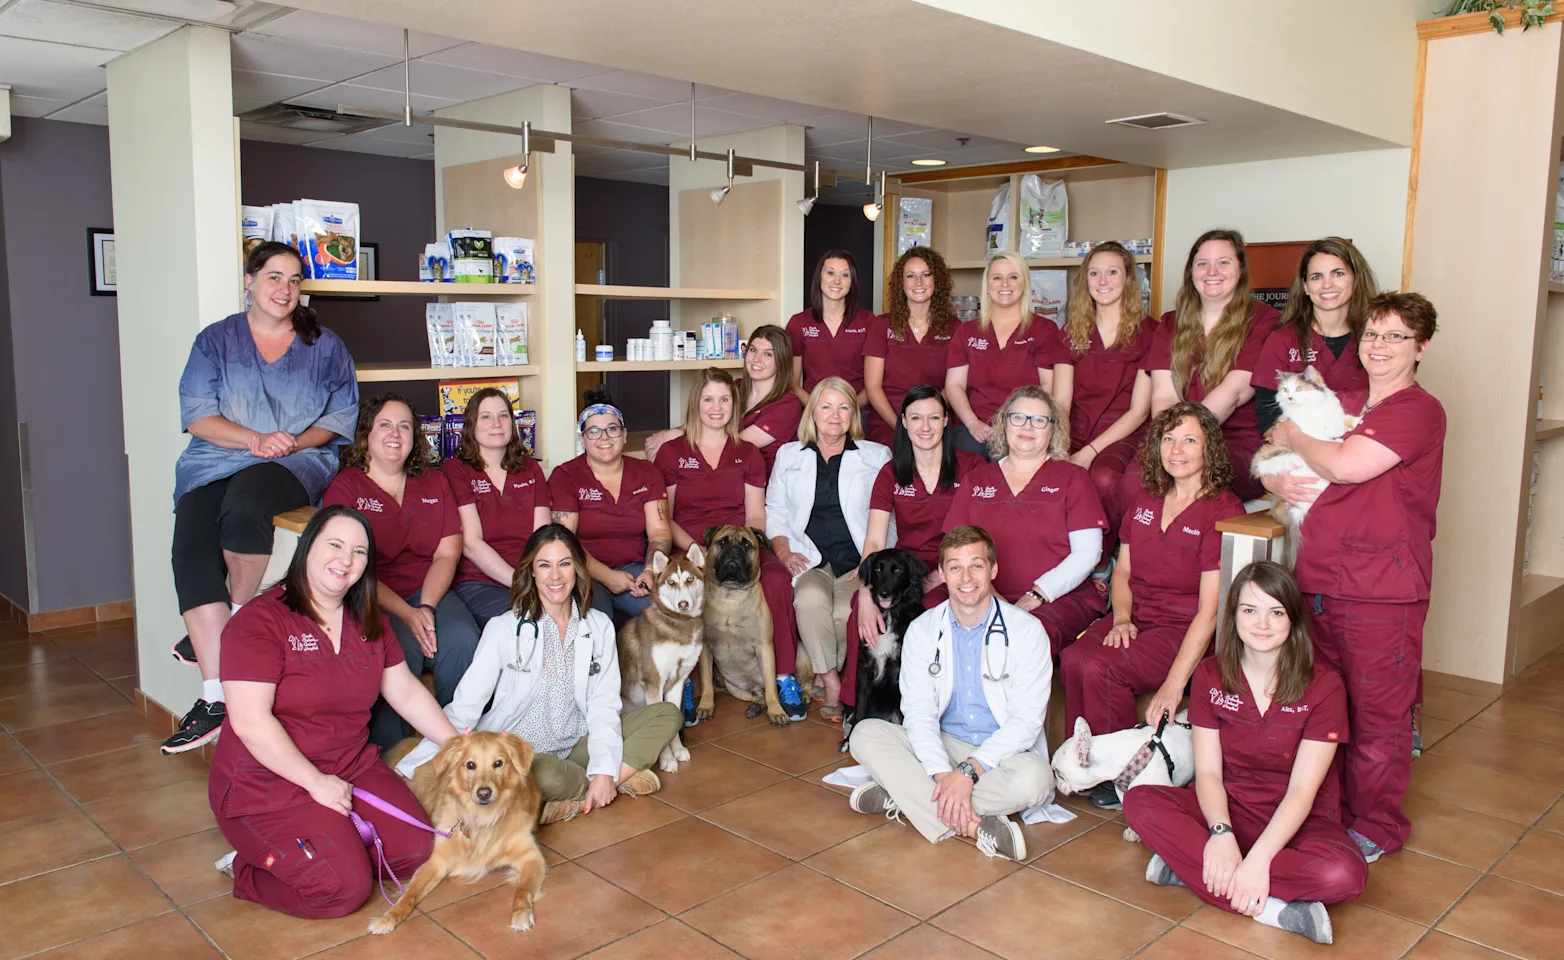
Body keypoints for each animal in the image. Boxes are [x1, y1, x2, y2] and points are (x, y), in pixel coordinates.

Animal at [844, 550, 925, 753]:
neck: (889, 615)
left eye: (898, 570)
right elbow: (860, 708)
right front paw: (850, 739)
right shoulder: (864, 667)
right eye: (878, 570)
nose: (884, 593)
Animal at [1257, 364, 1357, 569]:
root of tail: (1293, 512)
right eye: (1285, 389)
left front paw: (1358, 420)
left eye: (1299, 388)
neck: (1311, 408)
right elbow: (1325, 437)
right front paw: (1338, 439)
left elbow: (1342, 422)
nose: (1289, 397)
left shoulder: (1333, 418)